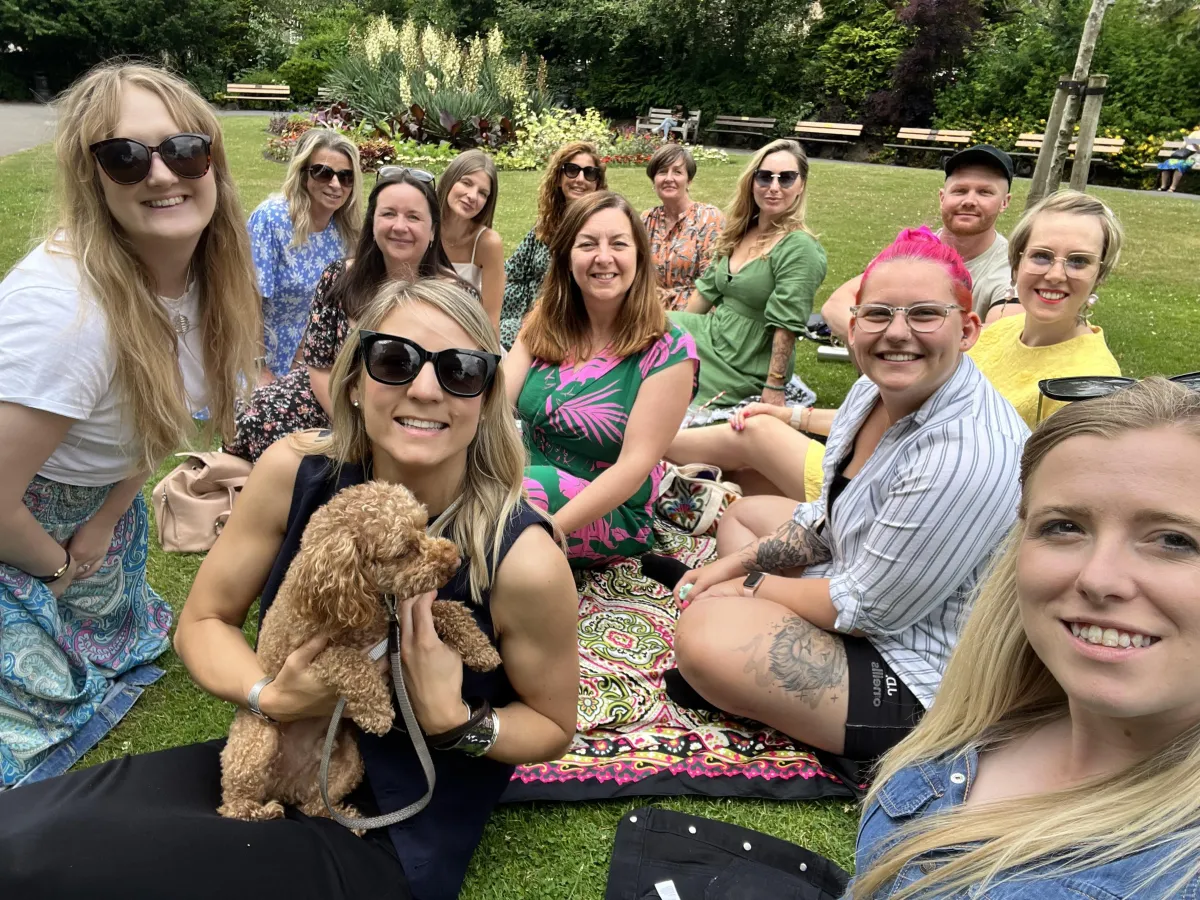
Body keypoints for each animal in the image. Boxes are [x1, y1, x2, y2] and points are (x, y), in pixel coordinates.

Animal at [219, 482, 501, 830]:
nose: (454, 559)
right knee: (233, 807)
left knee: (315, 806)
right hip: (256, 743)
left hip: (347, 763)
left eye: (423, 526)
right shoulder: (306, 657)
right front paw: (377, 710)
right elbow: (348, 660)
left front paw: (480, 647)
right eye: (403, 551)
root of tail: (286, 786)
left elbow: (447, 609)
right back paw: (263, 811)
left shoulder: (394, 624)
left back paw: (352, 822)